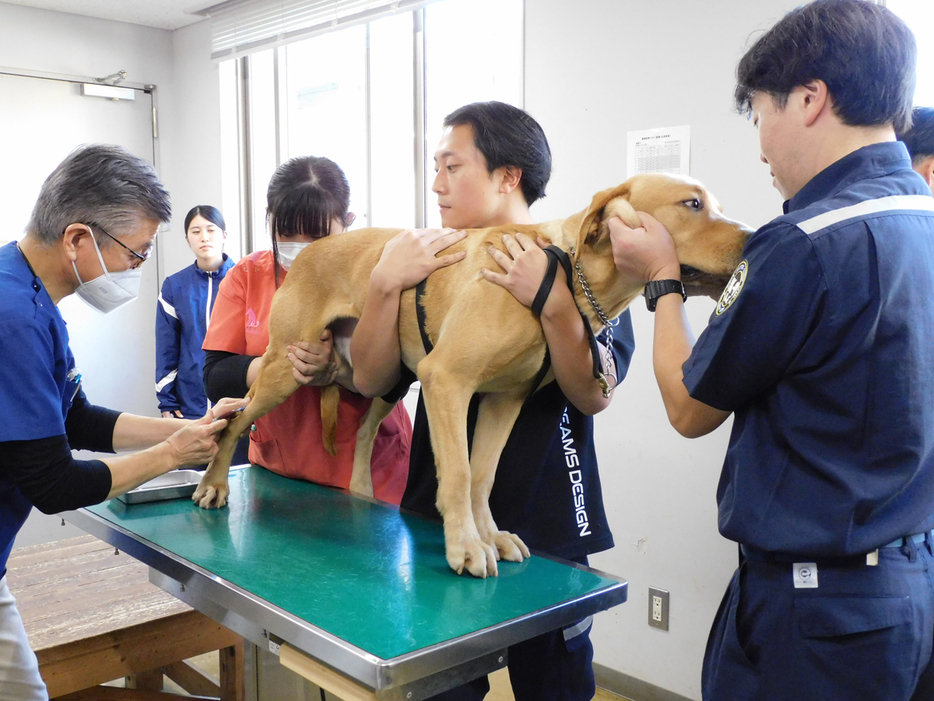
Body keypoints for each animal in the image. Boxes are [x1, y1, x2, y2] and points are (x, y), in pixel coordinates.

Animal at [192, 176, 752, 580]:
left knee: (365, 430)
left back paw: (360, 491)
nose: (756, 239)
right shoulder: (447, 380)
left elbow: (483, 474)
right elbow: (459, 473)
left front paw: (490, 535)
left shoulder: (505, 400)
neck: (561, 271)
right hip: (284, 370)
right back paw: (214, 483)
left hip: (383, 378)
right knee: (235, 420)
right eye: (693, 203)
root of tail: (308, 250)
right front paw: (464, 544)